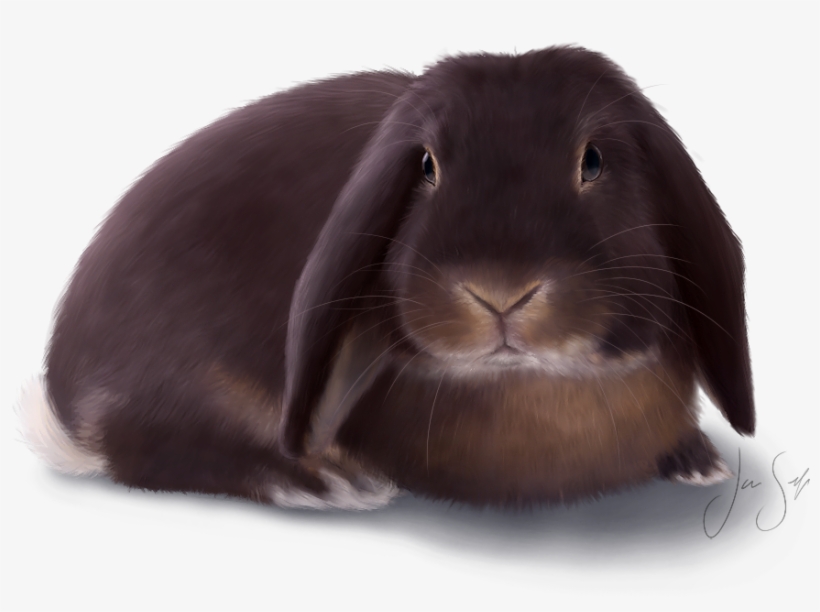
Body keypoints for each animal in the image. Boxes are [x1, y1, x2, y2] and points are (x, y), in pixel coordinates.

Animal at [20, 45, 754, 510]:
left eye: (594, 160)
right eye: (426, 166)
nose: (500, 292)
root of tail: (68, 392)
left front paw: (699, 462)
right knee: (151, 447)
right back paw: (319, 483)